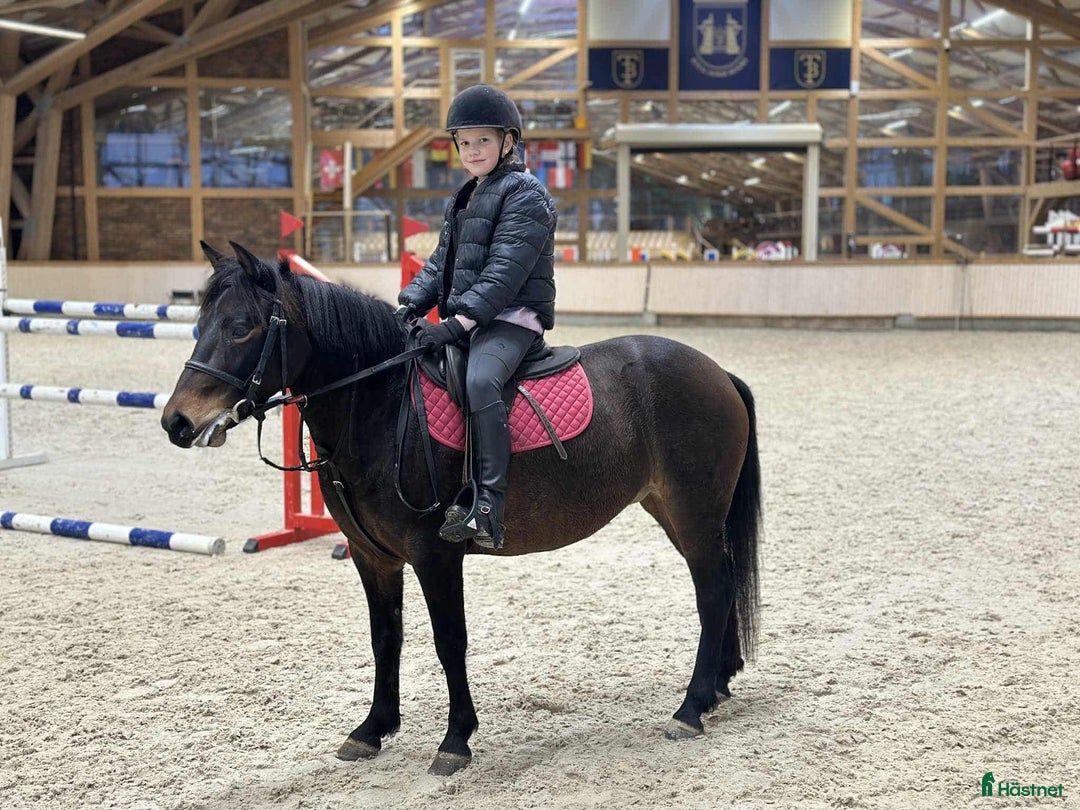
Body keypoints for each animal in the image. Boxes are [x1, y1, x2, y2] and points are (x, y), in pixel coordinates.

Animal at [161, 242, 762, 776]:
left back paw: (690, 708)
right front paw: (372, 730)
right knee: (721, 585)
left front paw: (455, 741)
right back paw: (716, 688)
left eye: (242, 327)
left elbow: (450, 642)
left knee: (713, 592)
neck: (382, 405)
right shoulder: (371, 557)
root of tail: (717, 372)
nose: (177, 422)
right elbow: (385, 639)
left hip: (694, 512)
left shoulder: (435, 556)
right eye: (199, 323)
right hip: (675, 513)